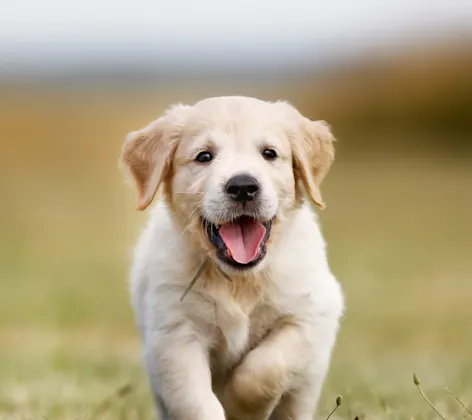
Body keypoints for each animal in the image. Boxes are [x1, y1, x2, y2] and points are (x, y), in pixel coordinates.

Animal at [121, 97, 342, 418]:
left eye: (269, 153)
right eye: (204, 156)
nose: (243, 187)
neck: (239, 280)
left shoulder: (311, 314)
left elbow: (266, 368)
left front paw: (240, 406)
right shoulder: (174, 335)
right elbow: (196, 401)